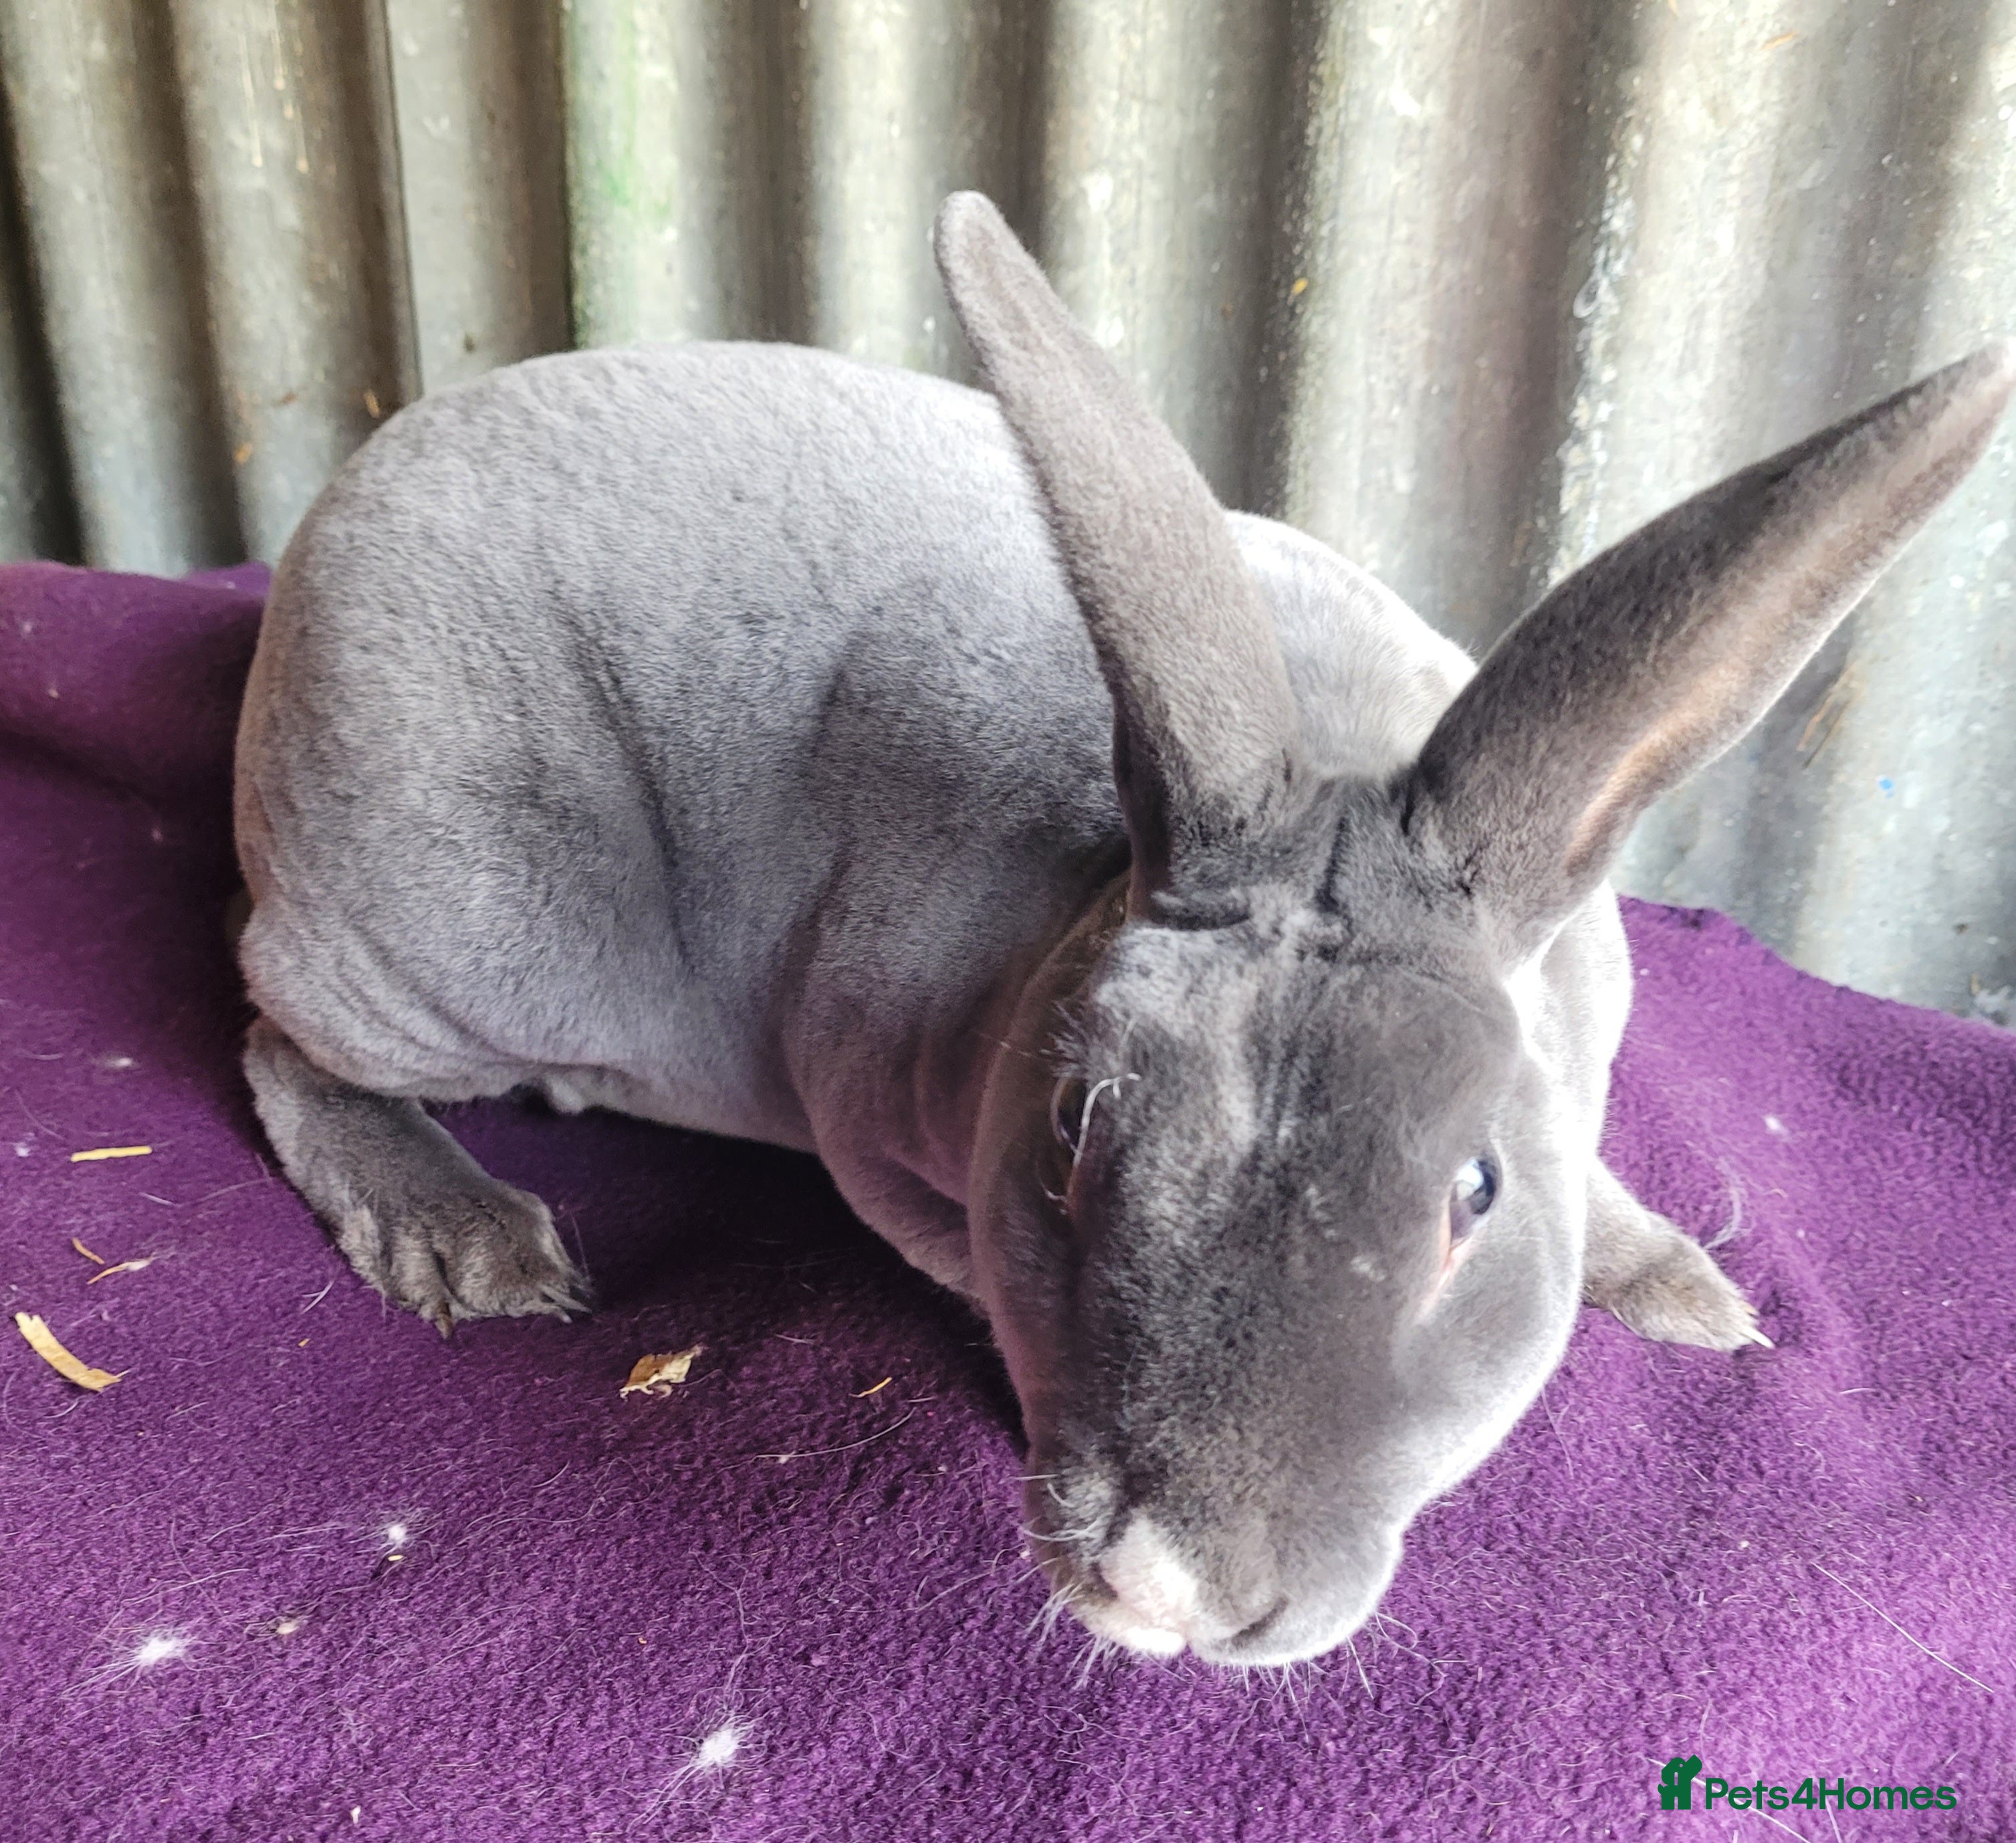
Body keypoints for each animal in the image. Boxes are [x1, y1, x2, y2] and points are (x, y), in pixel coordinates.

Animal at [234, 190, 2014, 1667]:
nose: (1169, 1587)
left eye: (1475, 1194)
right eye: (1073, 1131)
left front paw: (1689, 1294)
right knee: (271, 1031)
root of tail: (332, 520)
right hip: (447, 933)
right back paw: (462, 1240)